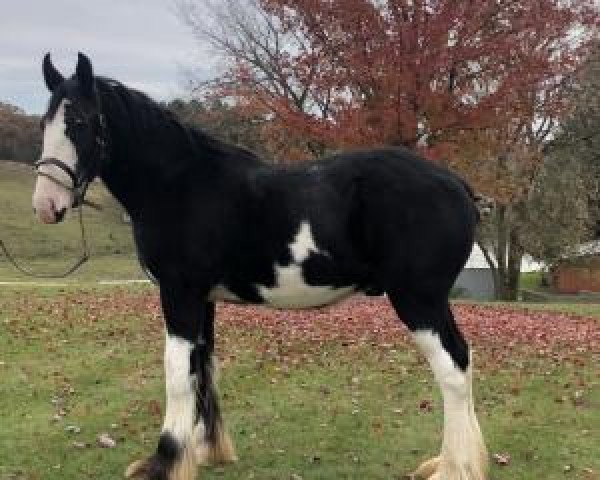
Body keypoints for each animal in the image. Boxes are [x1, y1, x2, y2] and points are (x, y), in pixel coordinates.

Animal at [31, 53, 488, 480]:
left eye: (79, 121)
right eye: (44, 123)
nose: (46, 205)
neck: (179, 183)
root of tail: (458, 185)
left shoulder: (179, 294)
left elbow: (177, 374)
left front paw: (165, 462)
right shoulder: (204, 299)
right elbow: (203, 368)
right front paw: (207, 451)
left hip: (418, 300)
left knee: (451, 370)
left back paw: (454, 467)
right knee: (463, 363)